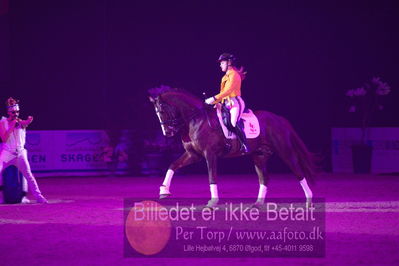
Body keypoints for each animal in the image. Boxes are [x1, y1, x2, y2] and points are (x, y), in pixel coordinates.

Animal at [148, 87, 318, 208]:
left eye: (162, 111)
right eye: (156, 113)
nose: (167, 133)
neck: (196, 119)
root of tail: (279, 119)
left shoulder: (210, 154)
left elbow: (212, 176)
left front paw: (213, 201)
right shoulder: (193, 154)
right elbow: (173, 165)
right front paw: (164, 191)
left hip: (285, 152)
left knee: (298, 172)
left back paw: (309, 201)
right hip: (259, 155)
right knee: (264, 177)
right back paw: (257, 204)